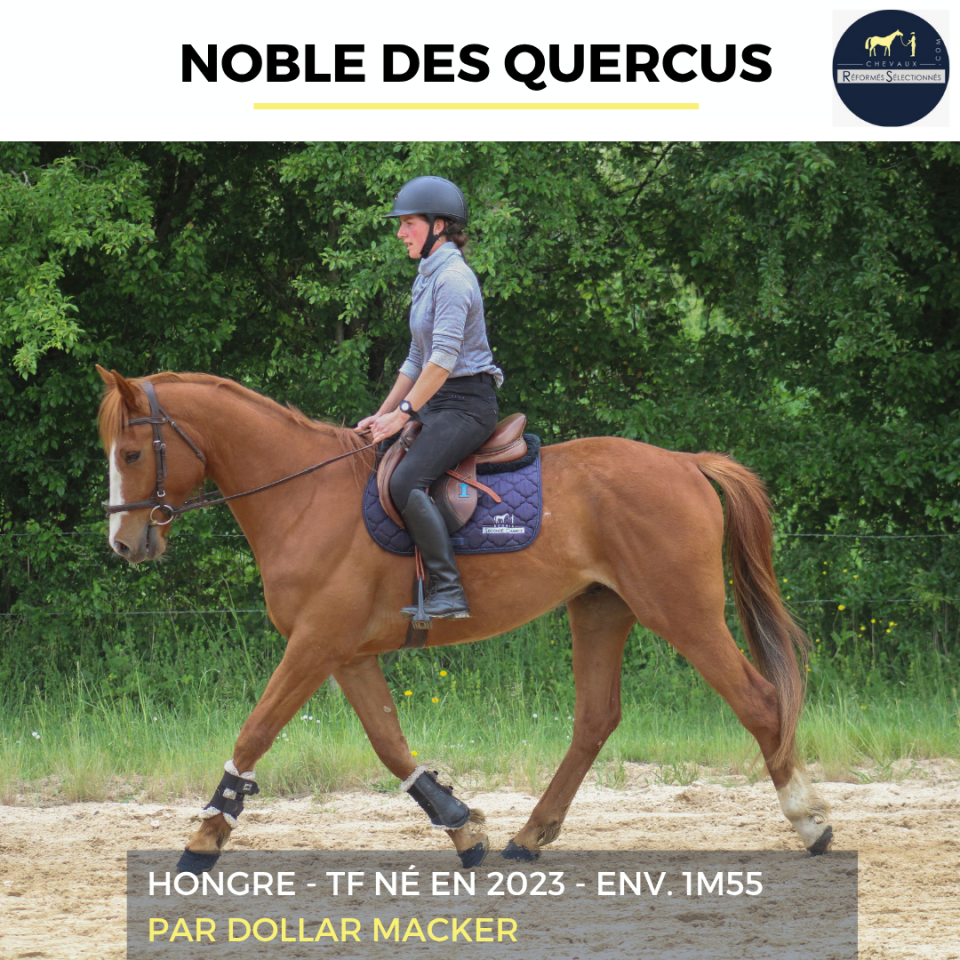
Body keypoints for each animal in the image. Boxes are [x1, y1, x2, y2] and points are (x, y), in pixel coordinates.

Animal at [96, 367, 832, 871]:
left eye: (130, 454)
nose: (125, 546)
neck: (304, 496)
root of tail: (686, 463)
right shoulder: (347, 653)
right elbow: (390, 743)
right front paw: (461, 825)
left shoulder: (314, 645)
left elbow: (255, 732)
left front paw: (204, 837)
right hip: (601, 610)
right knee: (596, 719)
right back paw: (529, 836)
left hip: (682, 612)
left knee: (759, 700)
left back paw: (809, 821)